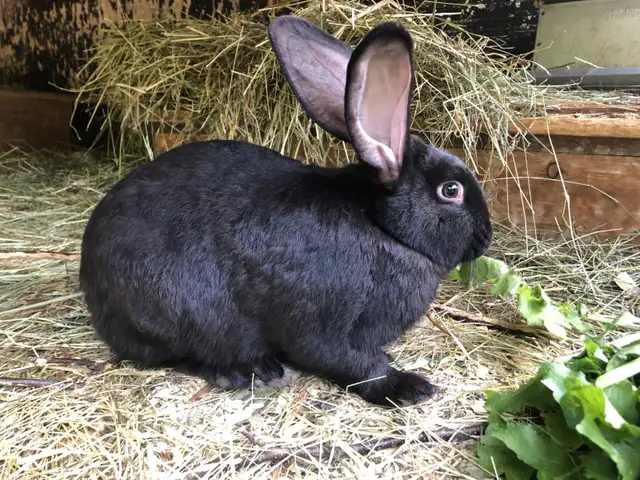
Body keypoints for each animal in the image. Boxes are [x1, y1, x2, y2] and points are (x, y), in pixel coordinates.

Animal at [79, 15, 493, 408]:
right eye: (451, 190)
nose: (486, 237)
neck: (381, 227)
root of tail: (90, 278)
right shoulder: (320, 325)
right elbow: (350, 361)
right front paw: (408, 387)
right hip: (173, 316)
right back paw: (251, 371)